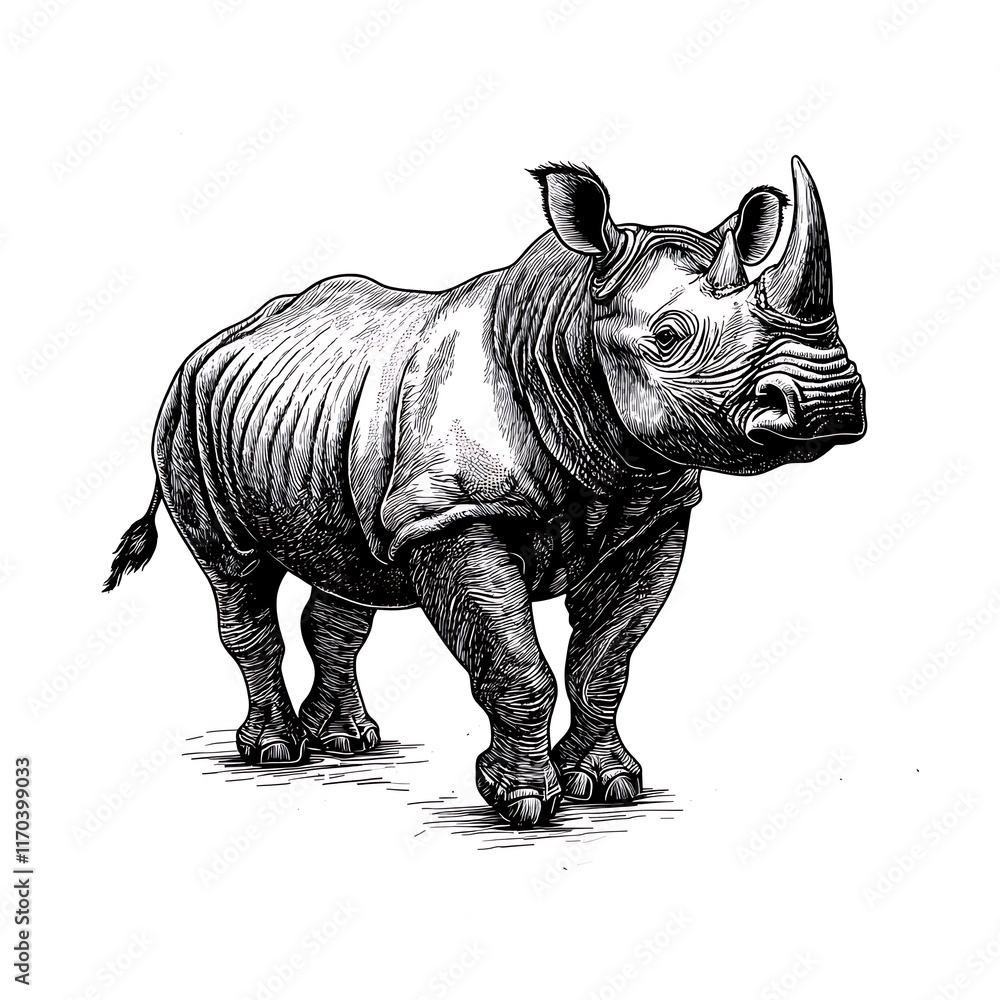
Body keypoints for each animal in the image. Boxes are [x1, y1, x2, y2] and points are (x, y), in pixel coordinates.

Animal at [105, 156, 865, 828]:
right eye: (669, 336)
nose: (828, 401)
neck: (564, 332)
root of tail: (217, 341)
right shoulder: (453, 514)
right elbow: (515, 663)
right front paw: (523, 803)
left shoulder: (653, 510)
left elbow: (607, 658)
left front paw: (605, 784)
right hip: (186, 414)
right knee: (236, 572)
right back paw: (274, 751)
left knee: (345, 570)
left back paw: (348, 742)